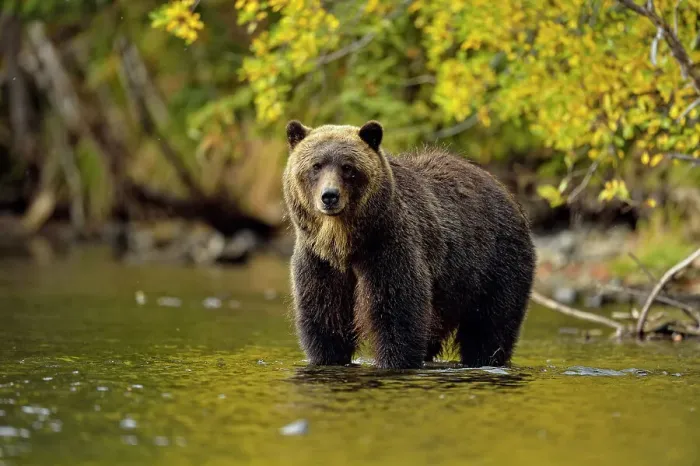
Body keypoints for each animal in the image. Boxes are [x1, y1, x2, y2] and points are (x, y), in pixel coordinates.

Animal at [282, 120, 536, 370]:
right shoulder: (319, 261)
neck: (344, 242)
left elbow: (397, 313)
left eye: (348, 167)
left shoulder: (388, 248)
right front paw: (328, 356)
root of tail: (504, 190)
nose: (329, 196)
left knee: (490, 326)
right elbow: (325, 316)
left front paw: (394, 360)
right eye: (316, 165)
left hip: (495, 264)